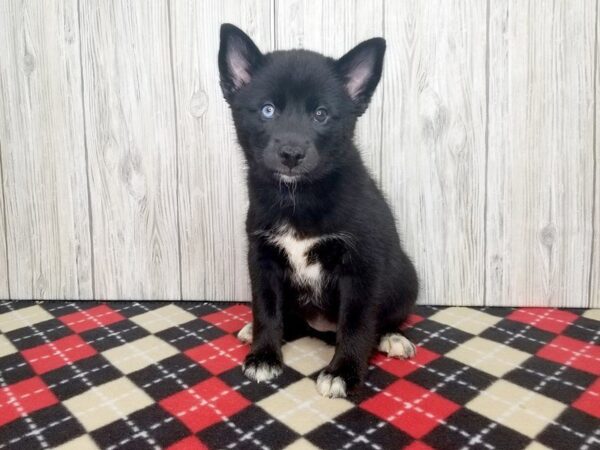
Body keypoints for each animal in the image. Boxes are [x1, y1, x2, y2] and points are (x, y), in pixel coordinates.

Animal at [218, 23, 420, 398]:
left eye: (321, 114)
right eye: (267, 110)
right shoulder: (262, 258)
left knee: (383, 319)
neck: (298, 197)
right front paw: (263, 355)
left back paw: (392, 337)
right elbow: (266, 310)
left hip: (405, 276)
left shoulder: (362, 266)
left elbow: (356, 323)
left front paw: (343, 372)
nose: (291, 154)